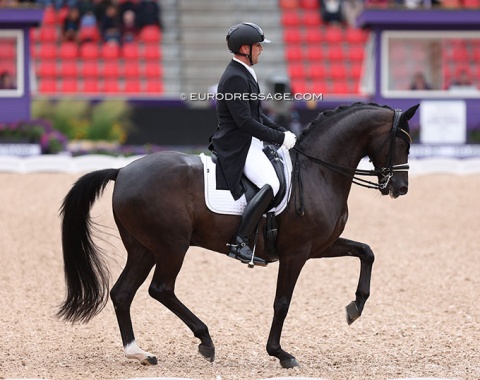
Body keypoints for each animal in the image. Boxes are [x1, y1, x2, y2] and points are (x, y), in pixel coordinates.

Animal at [58, 101, 420, 368]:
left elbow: (366, 251)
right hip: (171, 246)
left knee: (122, 293)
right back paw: (205, 340)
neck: (319, 170)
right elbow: (282, 301)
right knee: (160, 289)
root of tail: (122, 170)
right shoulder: (297, 252)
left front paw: (355, 307)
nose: (400, 188)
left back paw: (139, 352)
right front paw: (280, 353)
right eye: (403, 142)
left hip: (143, 248)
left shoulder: (321, 246)